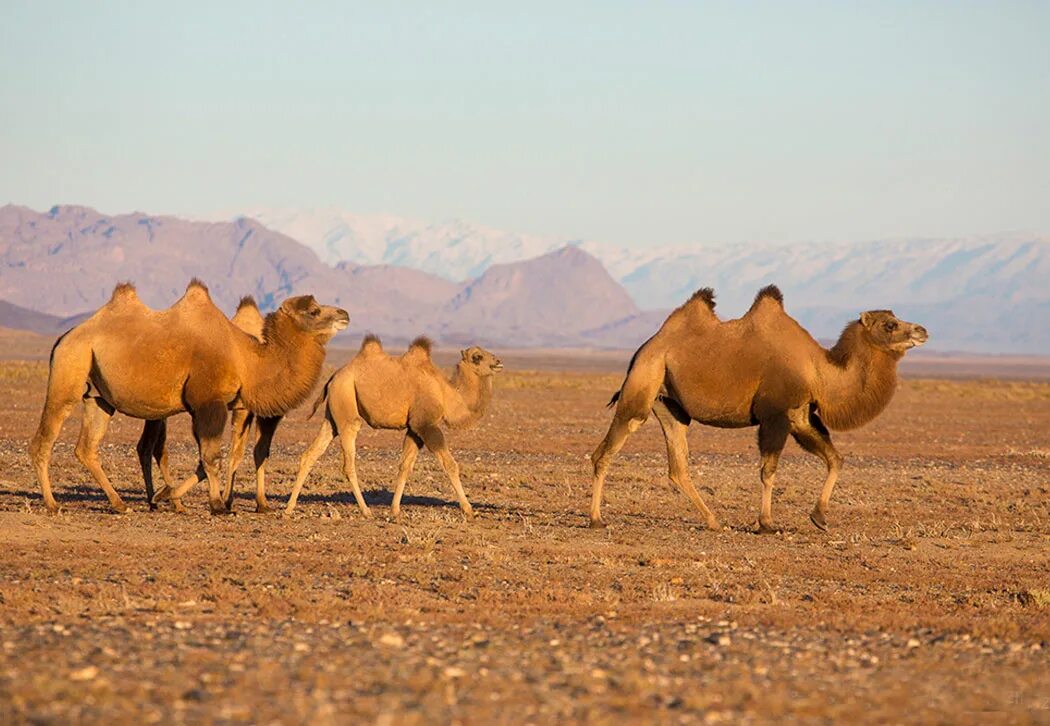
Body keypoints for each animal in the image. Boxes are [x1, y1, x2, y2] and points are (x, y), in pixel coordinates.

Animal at [27, 279, 348, 516]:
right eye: (314, 310)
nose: (344, 314)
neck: (246, 359)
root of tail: (65, 337)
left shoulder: (202, 407)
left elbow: (204, 460)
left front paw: (167, 496)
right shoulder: (210, 402)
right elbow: (211, 457)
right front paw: (216, 505)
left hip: (98, 396)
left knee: (87, 447)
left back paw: (120, 504)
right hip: (69, 370)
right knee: (45, 437)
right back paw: (53, 504)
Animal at [285, 338, 501, 519]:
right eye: (477, 357)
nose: (498, 361)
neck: (446, 393)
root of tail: (333, 377)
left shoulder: (414, 429)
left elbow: (404, 466)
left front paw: (395, 509)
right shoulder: (427, 425)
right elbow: (450, 464)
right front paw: (468, 509)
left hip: (333, 415)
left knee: (311, 453)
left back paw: (288, 509)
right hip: (347, 408)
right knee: (348, 462)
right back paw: (366, 510)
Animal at [592, 285, 928, 533]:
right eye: (890, 324)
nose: (922, 331)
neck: (818, 370)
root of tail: (644, 348)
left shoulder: (799, 416)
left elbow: (835, 459)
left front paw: (819, 517)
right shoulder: (775, 416)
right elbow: (768, 470)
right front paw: (766, 523)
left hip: (670, 405)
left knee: (678, 466)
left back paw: (713, 521)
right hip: (644, 382)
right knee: (608, 448)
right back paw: (596, 518)